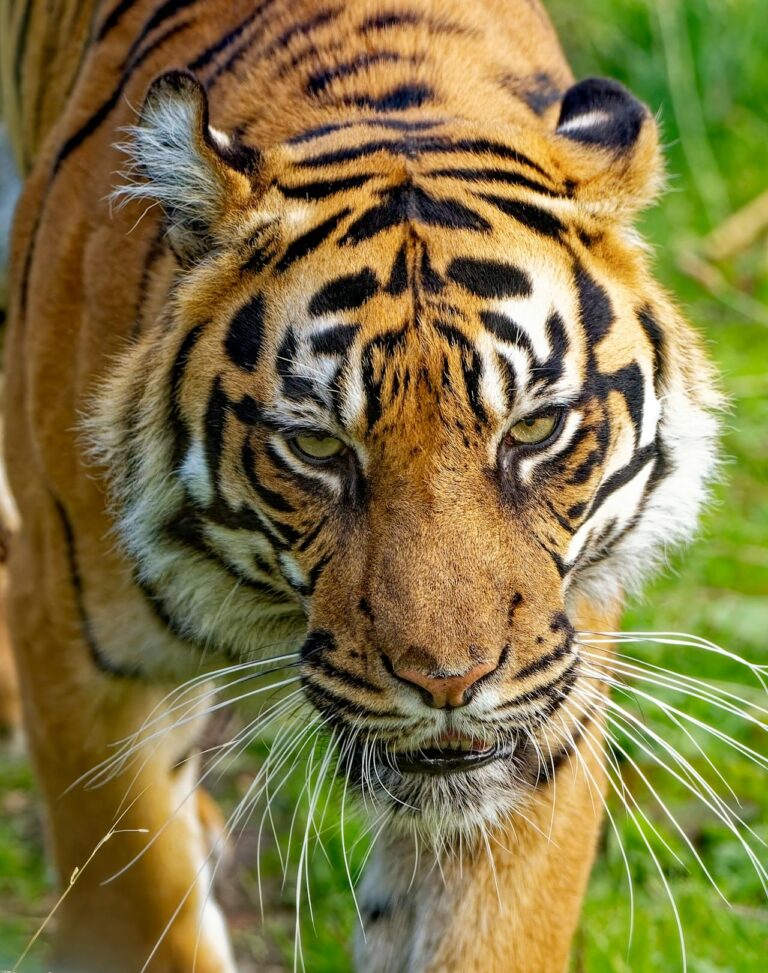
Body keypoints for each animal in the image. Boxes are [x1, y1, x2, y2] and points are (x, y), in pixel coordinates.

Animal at [1, 0, 721, 971]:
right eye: (316, 447)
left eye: (533, 430)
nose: (451, 683)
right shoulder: (83, 655)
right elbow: (144, 911)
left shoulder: (553, 685)